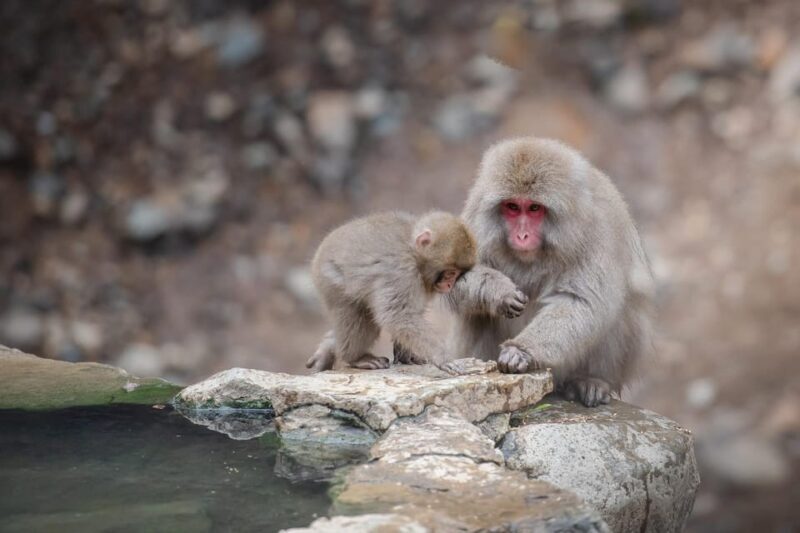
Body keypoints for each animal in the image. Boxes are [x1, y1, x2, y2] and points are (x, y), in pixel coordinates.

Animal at [306, 211, 478, 372]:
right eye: (450, 273)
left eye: (457, 275)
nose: (449, 285)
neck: (414, 253)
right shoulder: (401, 271)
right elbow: (398, 316)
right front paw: (442, 357)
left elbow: (409, 316)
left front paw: (406, 354)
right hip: (331, 281)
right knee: (360, 319)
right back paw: (355, 358)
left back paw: (328, 346)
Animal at [445, 137, 654, 407]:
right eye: (512, 207)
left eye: (534, 208)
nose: (522, 236)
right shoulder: (475, 214)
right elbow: (451, 279)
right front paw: (499, 292)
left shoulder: (596, 230)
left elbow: (582, 301)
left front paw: (520, 351)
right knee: (475, 313)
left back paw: (591, 380)